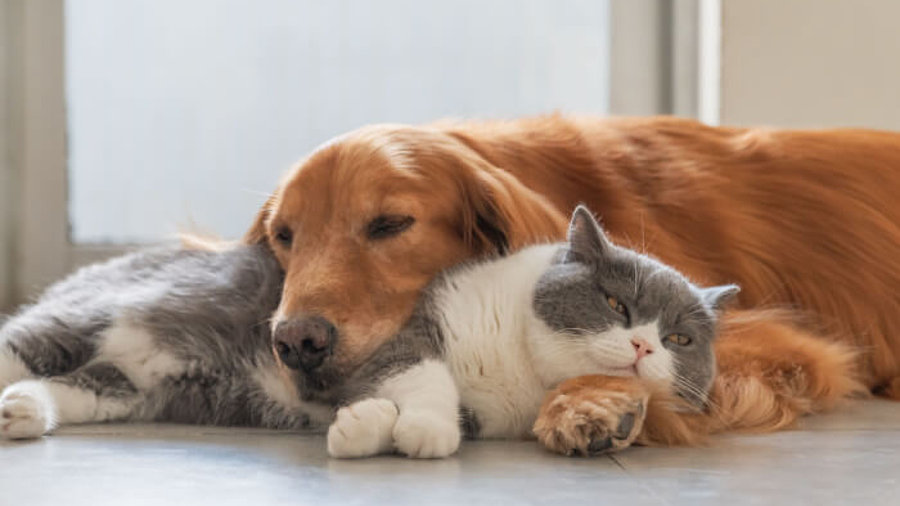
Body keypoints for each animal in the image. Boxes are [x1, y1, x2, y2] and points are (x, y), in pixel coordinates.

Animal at [320, 206, 736, 458]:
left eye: (678, 339)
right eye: (616, 304)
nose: (643, 346)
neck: (523, 362)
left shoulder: (491, 415)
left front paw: (381, 424)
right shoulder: (424, 324)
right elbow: (421, 371)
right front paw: (406, 424)